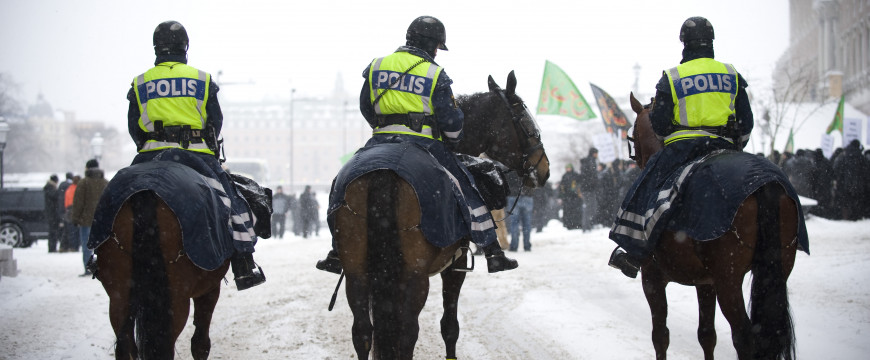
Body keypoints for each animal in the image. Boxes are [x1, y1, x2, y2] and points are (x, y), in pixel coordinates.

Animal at [94, 190, 228, 358]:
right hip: (176, 300)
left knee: (126, 346)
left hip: (120, 297)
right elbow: (200, 344)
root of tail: (145, 194)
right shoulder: (209, 289)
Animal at [334, 71, 552, 360]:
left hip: (357, 272)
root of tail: (385, 171)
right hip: (413, 277)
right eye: (526, 121)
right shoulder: (455, 267)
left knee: (362, 333)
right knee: (407, 334)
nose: (544, 168)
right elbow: (450, 326)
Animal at [628, 93, 804, 360]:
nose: (635, 160)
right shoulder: (706, 282)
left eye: (632, 134)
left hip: (728, 280)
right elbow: (707, 335)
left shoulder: (653, 278)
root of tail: (764, 183)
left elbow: (660, 336)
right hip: (776, 270)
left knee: (744, 337)